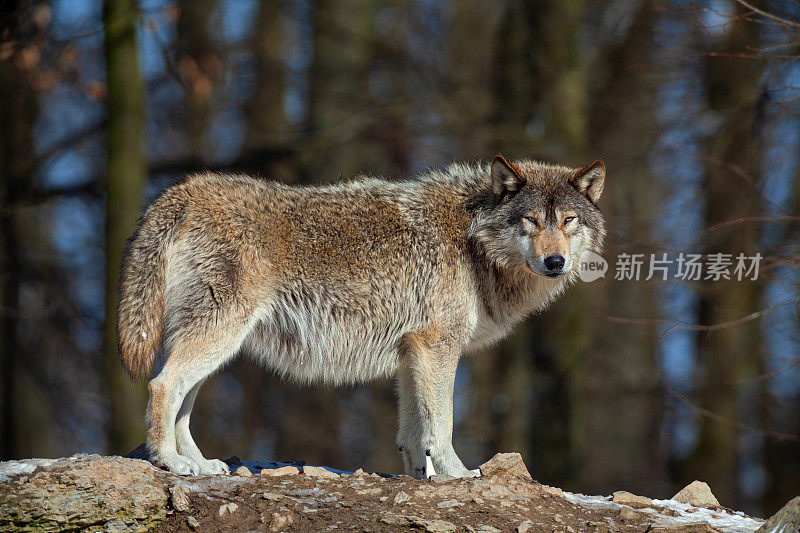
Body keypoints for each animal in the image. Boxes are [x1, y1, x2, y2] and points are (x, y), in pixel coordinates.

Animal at [117, 156, 608, 476]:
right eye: (530, 221)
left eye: (568, 221)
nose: (555, 262)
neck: (472, 241)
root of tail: (184, 190)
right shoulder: (437, 346)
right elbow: (441, 426)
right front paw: (459, 475)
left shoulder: (412, 353)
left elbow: (413, 433)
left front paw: (419, 479)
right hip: (218, 337)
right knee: (161, 385)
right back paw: (172, 464)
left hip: (214, 345)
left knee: (181, 402)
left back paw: (201, 465)